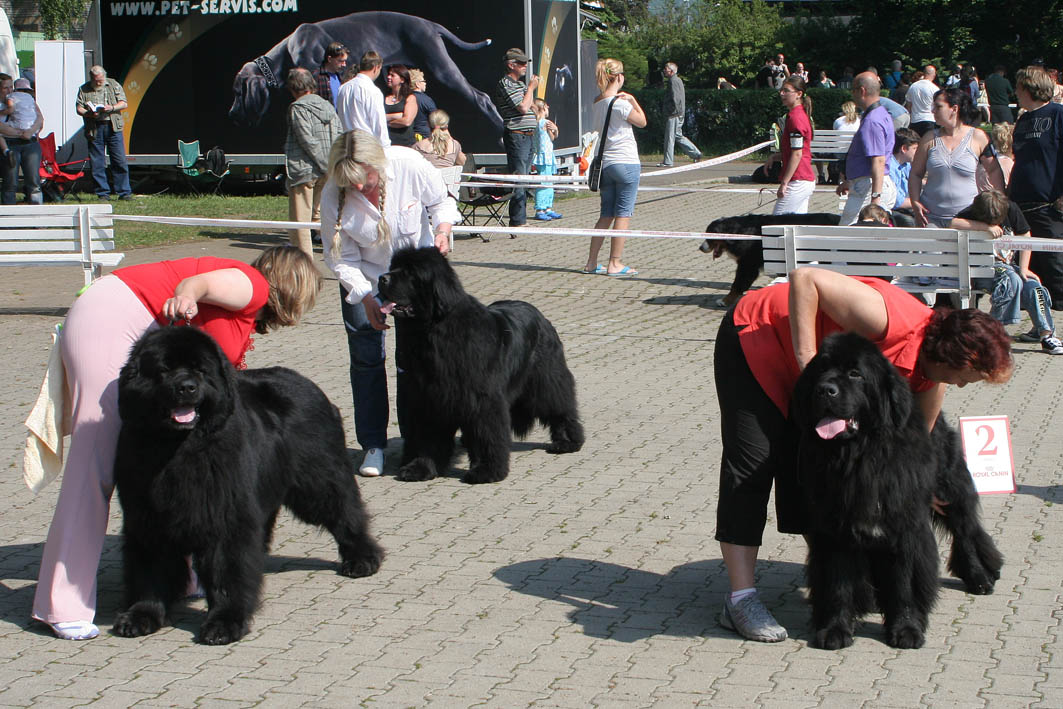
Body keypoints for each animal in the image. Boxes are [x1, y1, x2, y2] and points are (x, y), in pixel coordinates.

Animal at [112, 327, 384, 645]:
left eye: (200, 370)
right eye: (164, 369)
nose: (187, 387)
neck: (177, 449)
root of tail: (306, 382)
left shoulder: (224, 518)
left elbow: (226, 571)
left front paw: (224, 622)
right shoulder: (146, 518)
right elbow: (149, 571)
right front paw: (141, 615)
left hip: (317, 482)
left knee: (345, 511)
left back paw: (363, 558)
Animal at [229, 11, 499, 131]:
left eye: (238, 93)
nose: (231, 115)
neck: (287, 49)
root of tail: (430, 24)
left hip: (441, 67)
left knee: (482, 98)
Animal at [376, 247, 584, 483]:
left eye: (410, 272)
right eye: (394, 267)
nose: (381, 278)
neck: (433, 331)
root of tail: (539, 314)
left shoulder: (482, 399)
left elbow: (487, 434)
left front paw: (486, 471)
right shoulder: (428, 397)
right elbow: (426, 436)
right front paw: (419, 467)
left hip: (547, 379)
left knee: (559, 406)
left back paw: (568, 441)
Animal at [701, 213, 841, 307]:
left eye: (710, 235)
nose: (701, 247)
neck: (739, 233)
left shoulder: (748, 265)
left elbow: (737, 284)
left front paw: (725, 301)